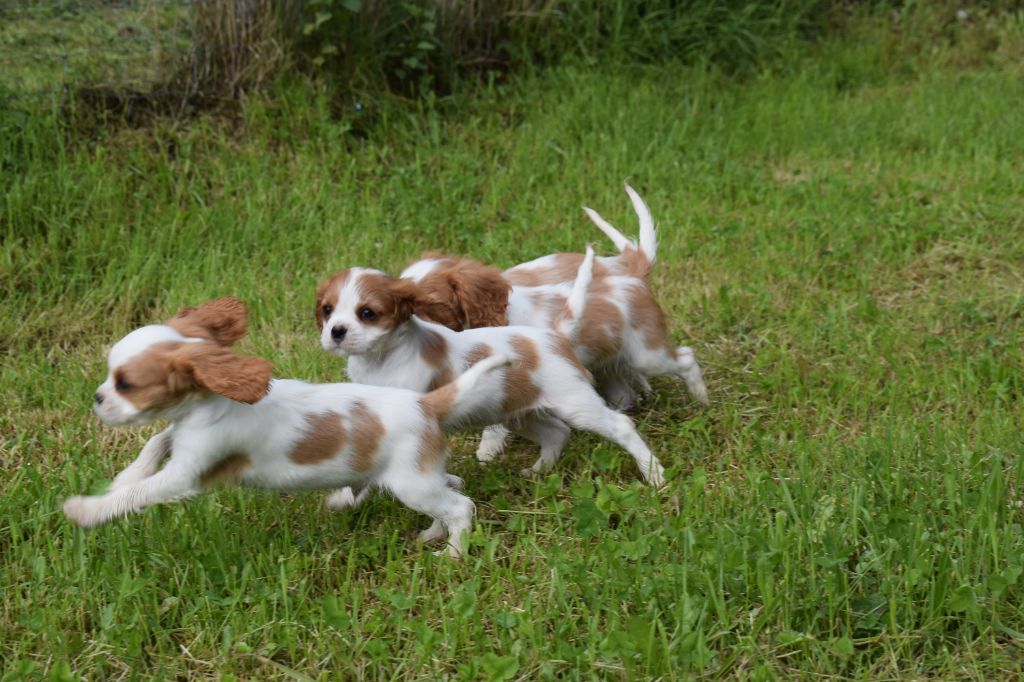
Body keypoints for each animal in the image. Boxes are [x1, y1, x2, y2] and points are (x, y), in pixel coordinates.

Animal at [62, 294, 507, 557]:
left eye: (125, 384)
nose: (97, 398)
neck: (211, 402)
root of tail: (426, 403)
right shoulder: (186, 438)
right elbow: (157, 440)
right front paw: (125, 475)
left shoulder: (189, 471)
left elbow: (139, 492)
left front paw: (87, 509)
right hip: (420, 477)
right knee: (452, 488)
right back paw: (433, 534)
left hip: (410, 482)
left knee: (461, 505)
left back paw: (453, 553)